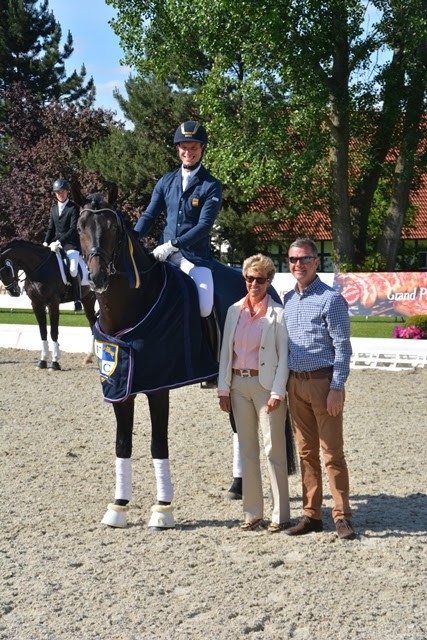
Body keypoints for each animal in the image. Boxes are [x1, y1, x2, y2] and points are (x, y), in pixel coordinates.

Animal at [0, 240, 97, 370]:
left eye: (6, 270)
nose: (13, 292)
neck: (39, 269)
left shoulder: (53, 303)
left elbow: (53, 332)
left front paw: (55, 362)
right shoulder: (36, 304)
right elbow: (43, 332)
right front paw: (43, 361)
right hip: (88, 300)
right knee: (93, 323)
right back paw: (89, 357)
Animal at [78, 194, 296, 528]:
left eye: (113, 227)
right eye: (80, 226)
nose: (97, 277)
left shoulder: (158, 388)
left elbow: (158, 444)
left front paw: (163, 509)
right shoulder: (119, 388)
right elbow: (122, 443)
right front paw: (118, 506)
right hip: (228, 381)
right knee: (238, 429)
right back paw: (237, 486)